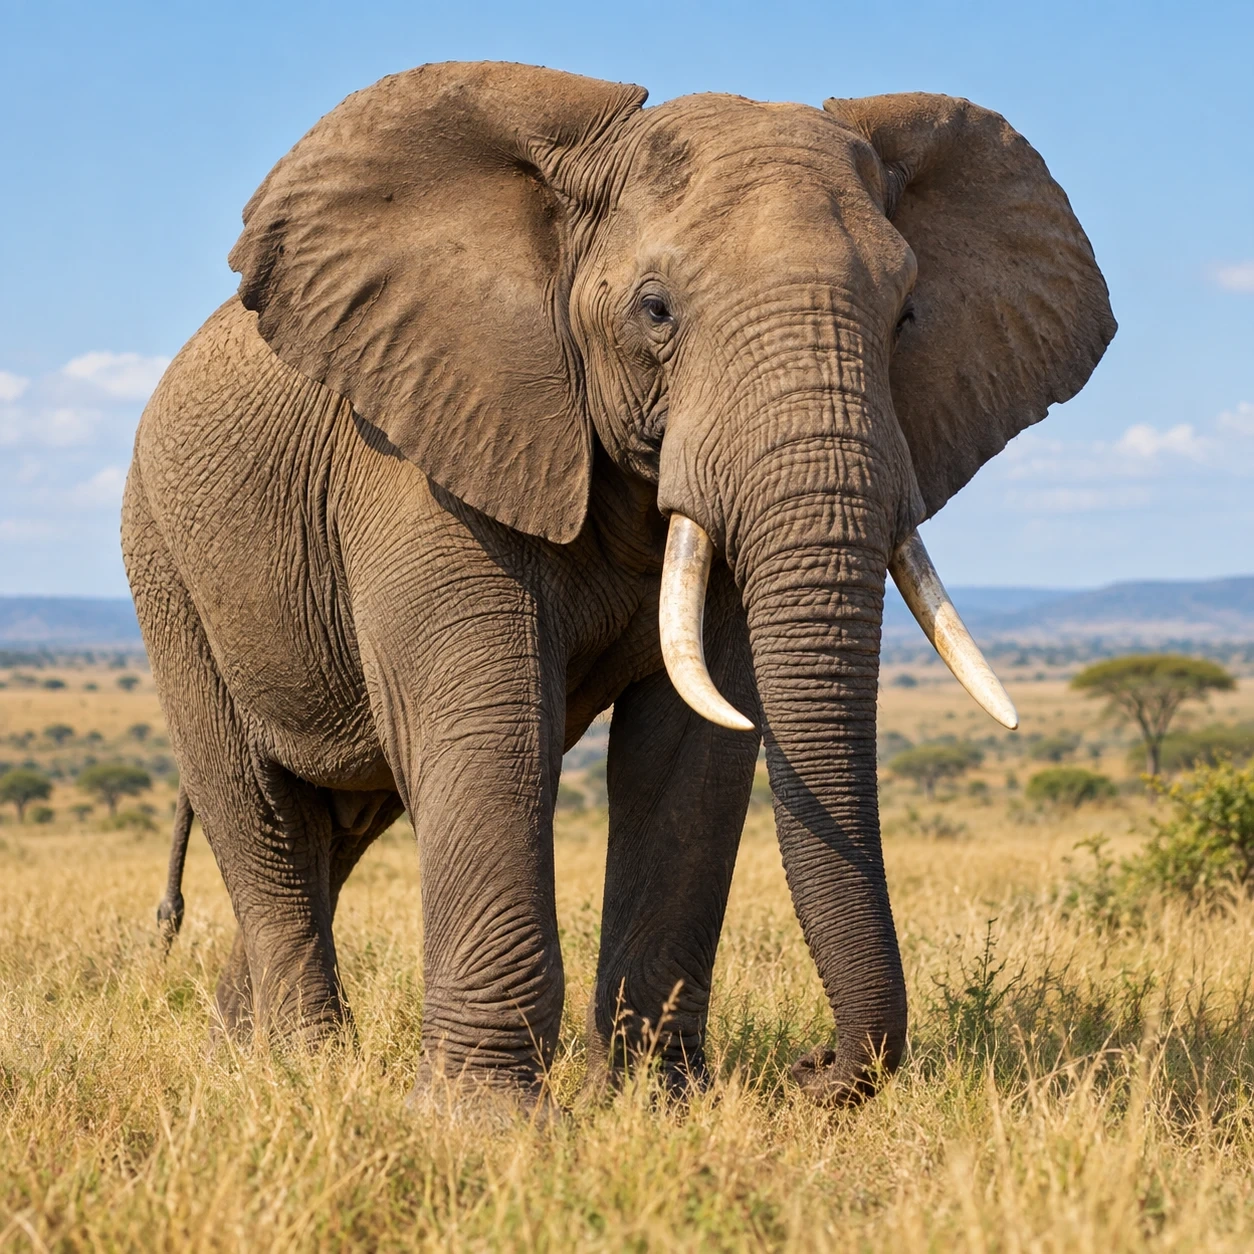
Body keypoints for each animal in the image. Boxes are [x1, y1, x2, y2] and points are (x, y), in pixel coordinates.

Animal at [123, 61, 1114, 1109]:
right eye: (656, 310)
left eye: (907, 316)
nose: (813, 1069)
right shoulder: (422, 448)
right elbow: (491, 726)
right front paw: (484, 1120)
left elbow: (693, 751)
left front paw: (655, 1104)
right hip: (166, 568)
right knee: (260, 814)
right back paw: (304, 1071)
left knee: (336, 829)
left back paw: (242, 1058)